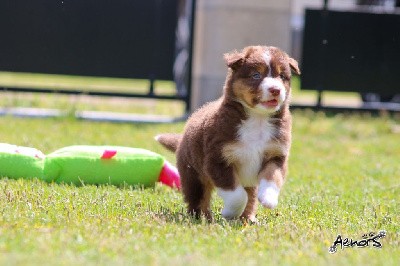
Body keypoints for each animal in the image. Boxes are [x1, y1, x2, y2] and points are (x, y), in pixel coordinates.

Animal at [156, 46, 300, 222]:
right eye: (256, 75)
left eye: (281, 76)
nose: (275, 90)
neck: (258, 119)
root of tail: (181, 139)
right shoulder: (218, 159)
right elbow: (237, 195)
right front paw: (230, 213)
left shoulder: (276, 154)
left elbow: (272, 177)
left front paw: (269, 198)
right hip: (193, 174)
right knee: (199, 199)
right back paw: (202, 218)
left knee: (251, 197)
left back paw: (248, 218)